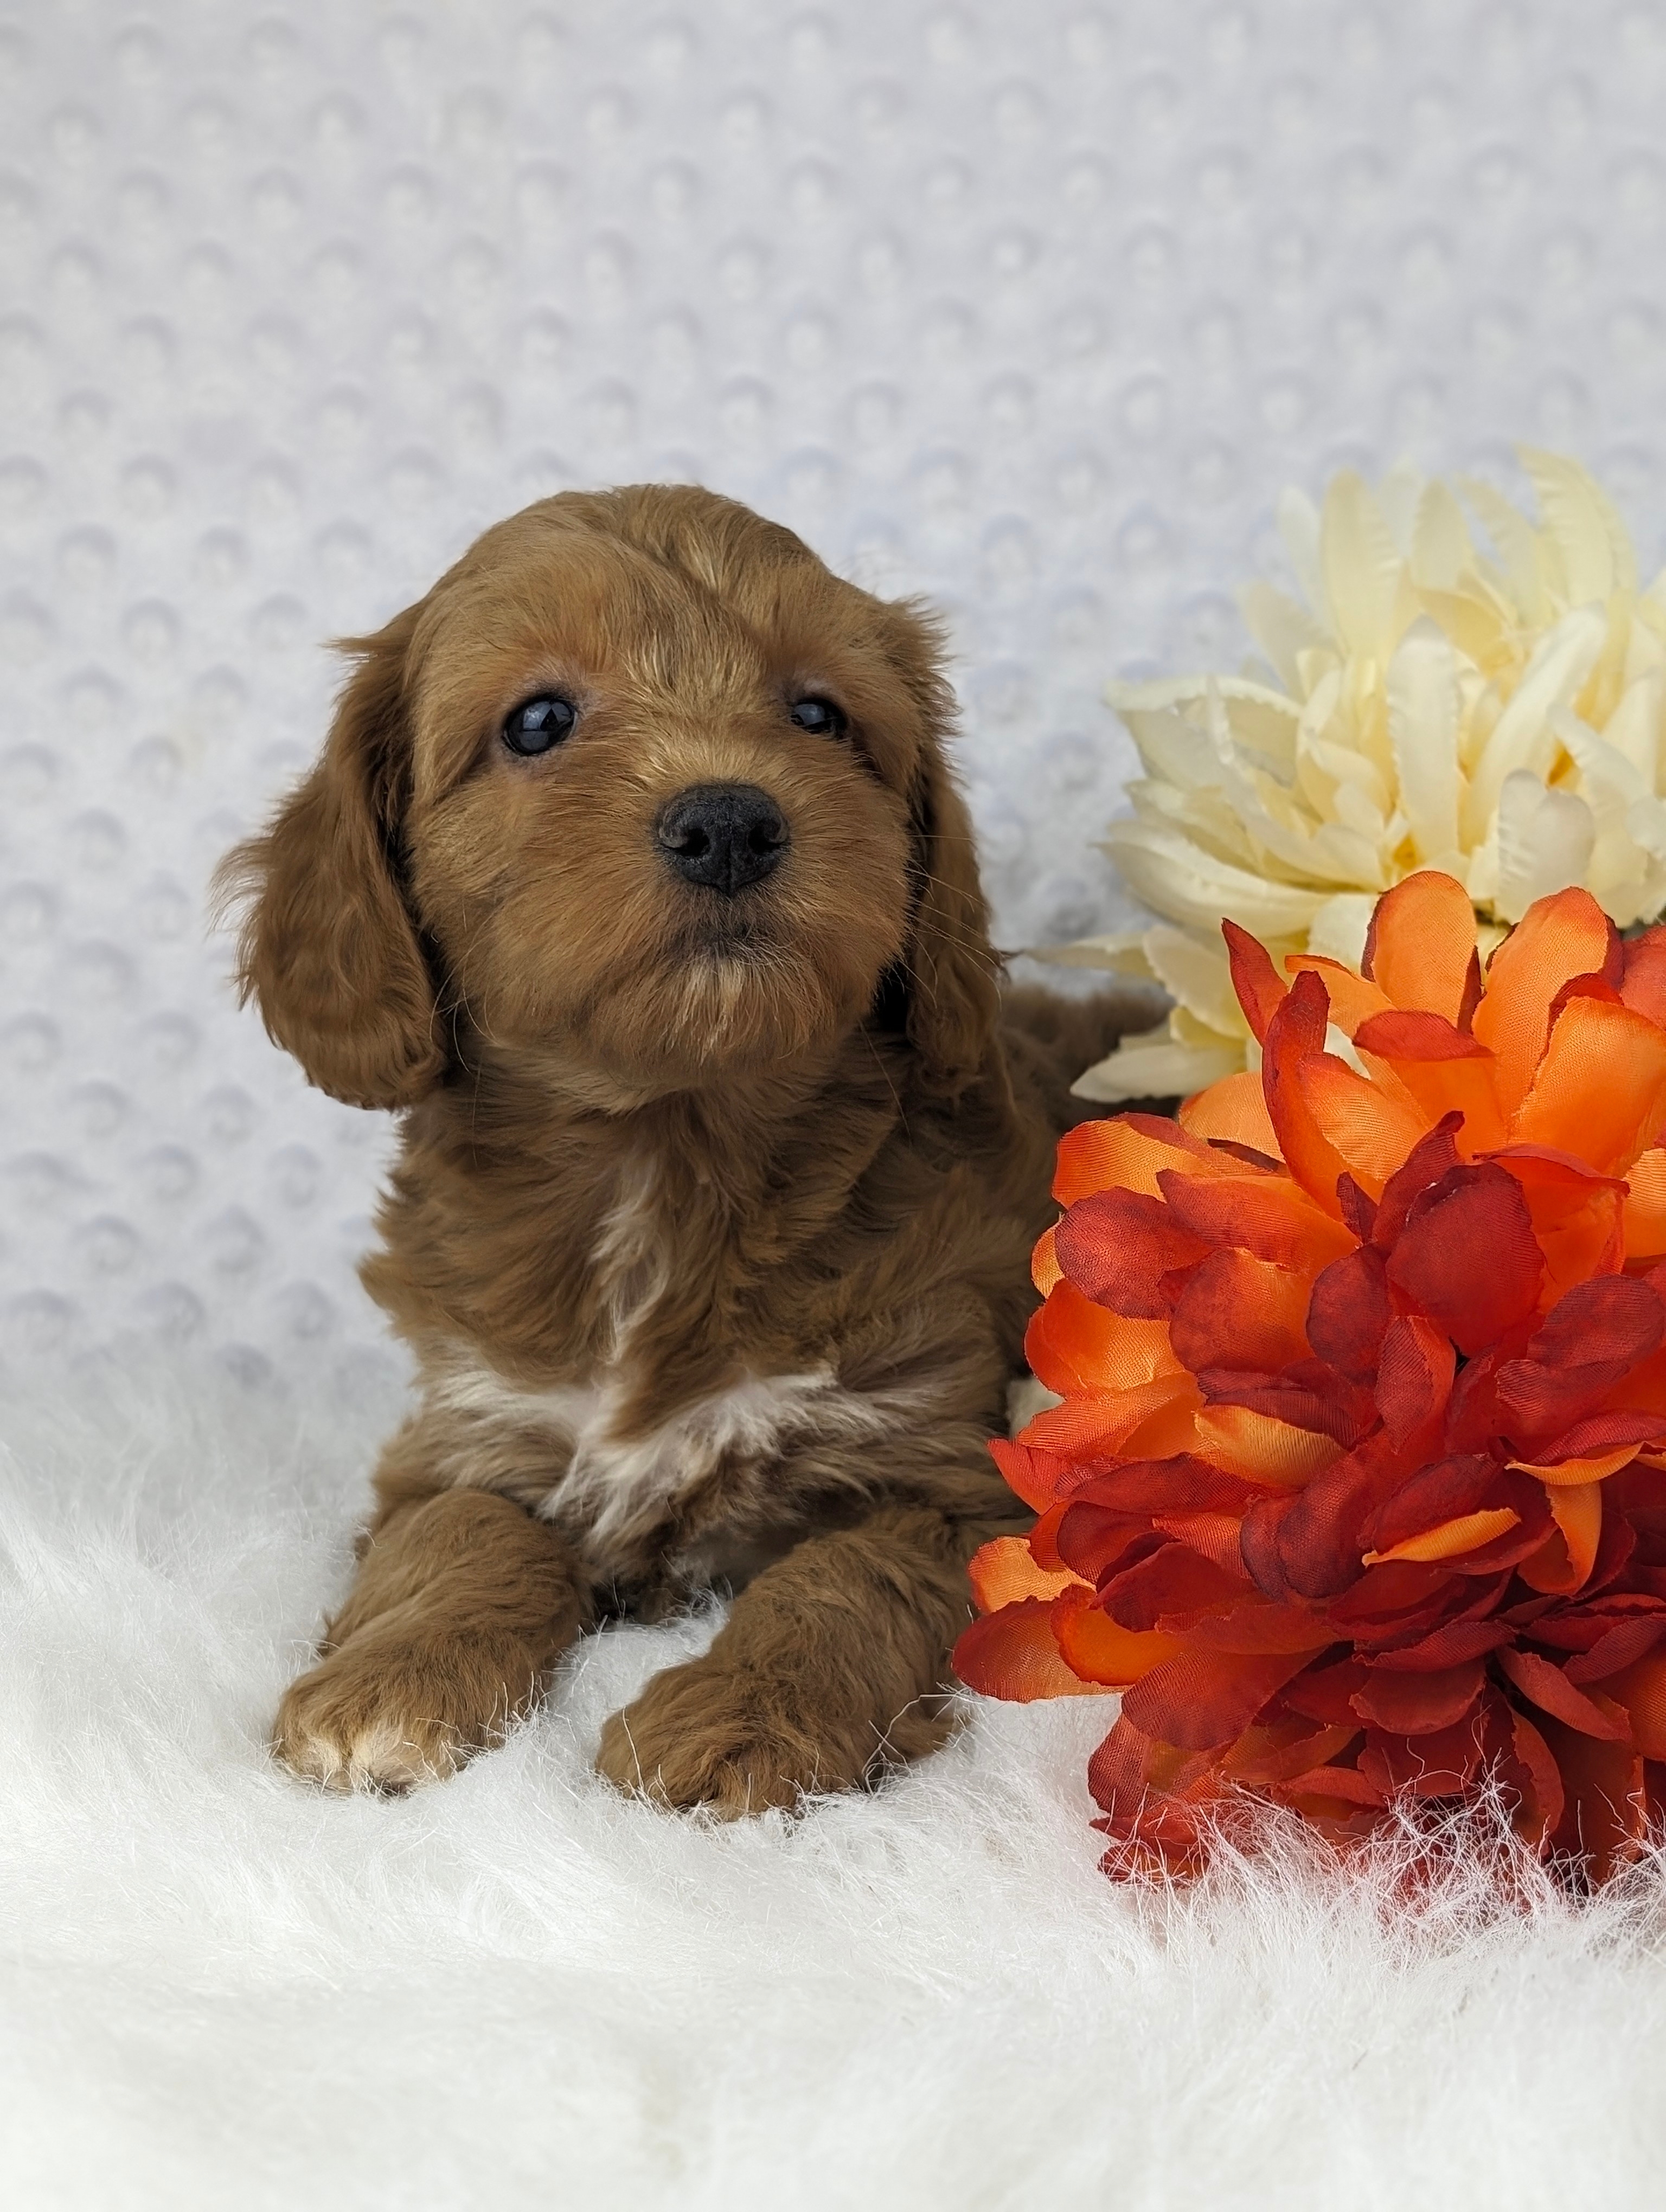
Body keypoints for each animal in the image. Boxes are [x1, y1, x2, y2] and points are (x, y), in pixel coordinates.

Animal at [221, 488, 1142, 1814]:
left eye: (819, 716)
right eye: (538, 721)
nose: (728, 821)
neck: (668, 1148)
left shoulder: (950, 1471)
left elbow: (842, 1579)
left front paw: (744, 1715)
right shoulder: (470, 1428)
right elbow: (459, 1533)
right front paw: (385, 1684)